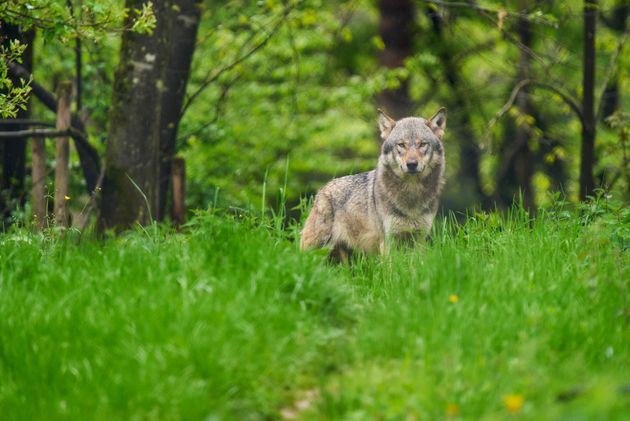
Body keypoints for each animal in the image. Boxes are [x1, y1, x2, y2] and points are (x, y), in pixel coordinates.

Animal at [302, 106, 450, 260]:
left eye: (422, 144)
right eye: (401, 145)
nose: (411, 164)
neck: (411, 193)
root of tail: (322, 189)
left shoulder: (420, 239)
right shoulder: (388, 240)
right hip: (317, 249)